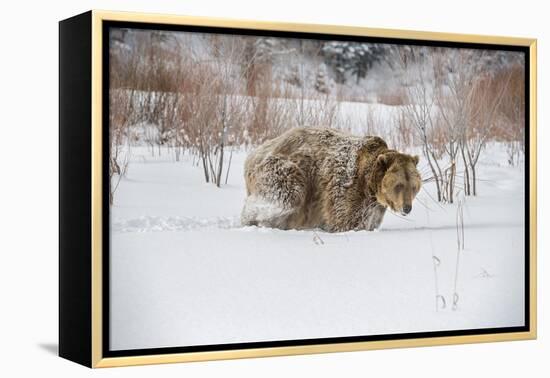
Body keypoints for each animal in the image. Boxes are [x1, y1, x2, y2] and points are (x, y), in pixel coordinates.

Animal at [242, 128, 422, 232]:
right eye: (398, 185)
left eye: (413, 187)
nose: (407, 208)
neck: (370, 185)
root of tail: (253, 154)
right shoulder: (347, 186)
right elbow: (345, 219)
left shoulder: (374, 205)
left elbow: (370, 221)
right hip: (284, 168)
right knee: (288, 195)